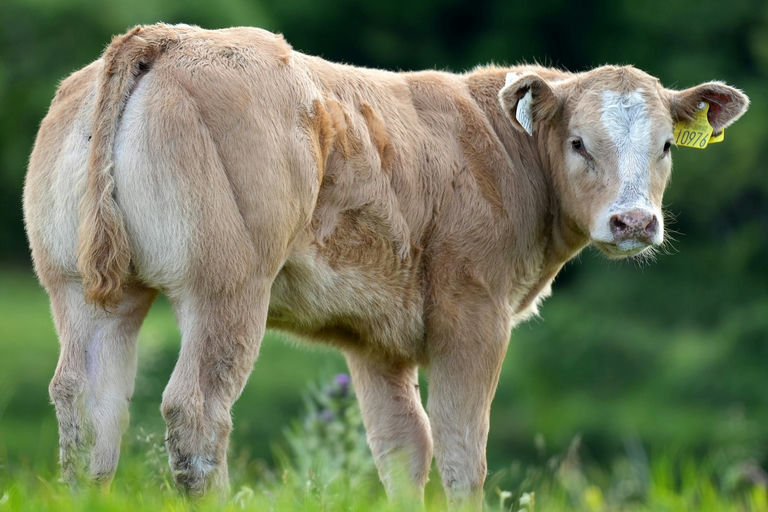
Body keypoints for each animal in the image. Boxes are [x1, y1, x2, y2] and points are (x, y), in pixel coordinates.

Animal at [23, 23, 748, 508]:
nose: (635, 222)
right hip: (226, 286)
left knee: (88, 411)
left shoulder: (375, 339)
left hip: (83, 291)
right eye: (578, 142)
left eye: (664, 145)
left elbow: (404, 449)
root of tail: (166, 36)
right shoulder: (473, 314)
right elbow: (460, 447)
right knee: (196, 410)